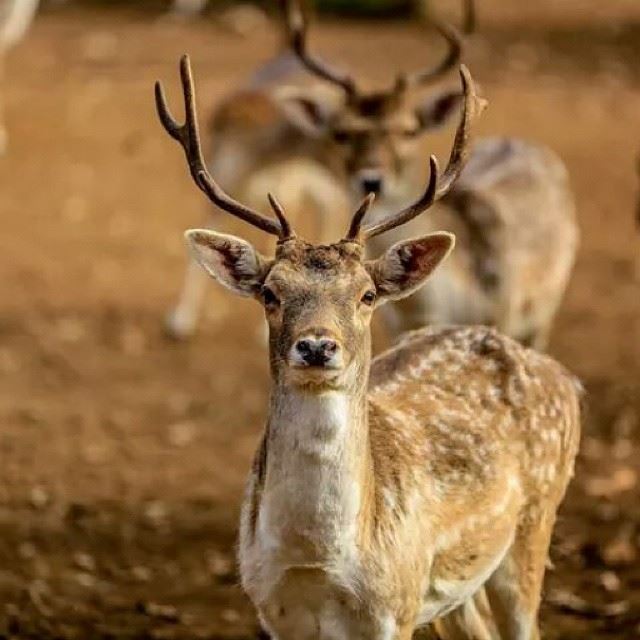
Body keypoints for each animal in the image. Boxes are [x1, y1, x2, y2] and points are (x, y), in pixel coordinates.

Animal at [156, 53, 584, 640]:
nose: (317, 347)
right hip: (452, 585)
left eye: (366, 294)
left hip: (534, 524)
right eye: (270, 292)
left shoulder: (393, 607)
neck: (318, 559)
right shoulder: (271, 607)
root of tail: (564, 377)